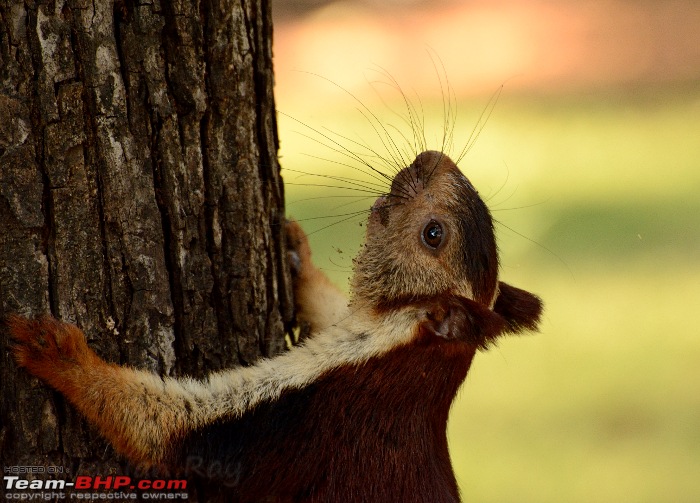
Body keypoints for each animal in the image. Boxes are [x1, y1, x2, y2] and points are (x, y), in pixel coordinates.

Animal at [6, 151, 540, 503]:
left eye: (434, 234)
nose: (434, 157)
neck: (404, 344)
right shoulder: (349, 328)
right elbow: (329, 306)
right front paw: (297, 253)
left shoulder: (299, 413)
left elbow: (163, 427)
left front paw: (56, 350)